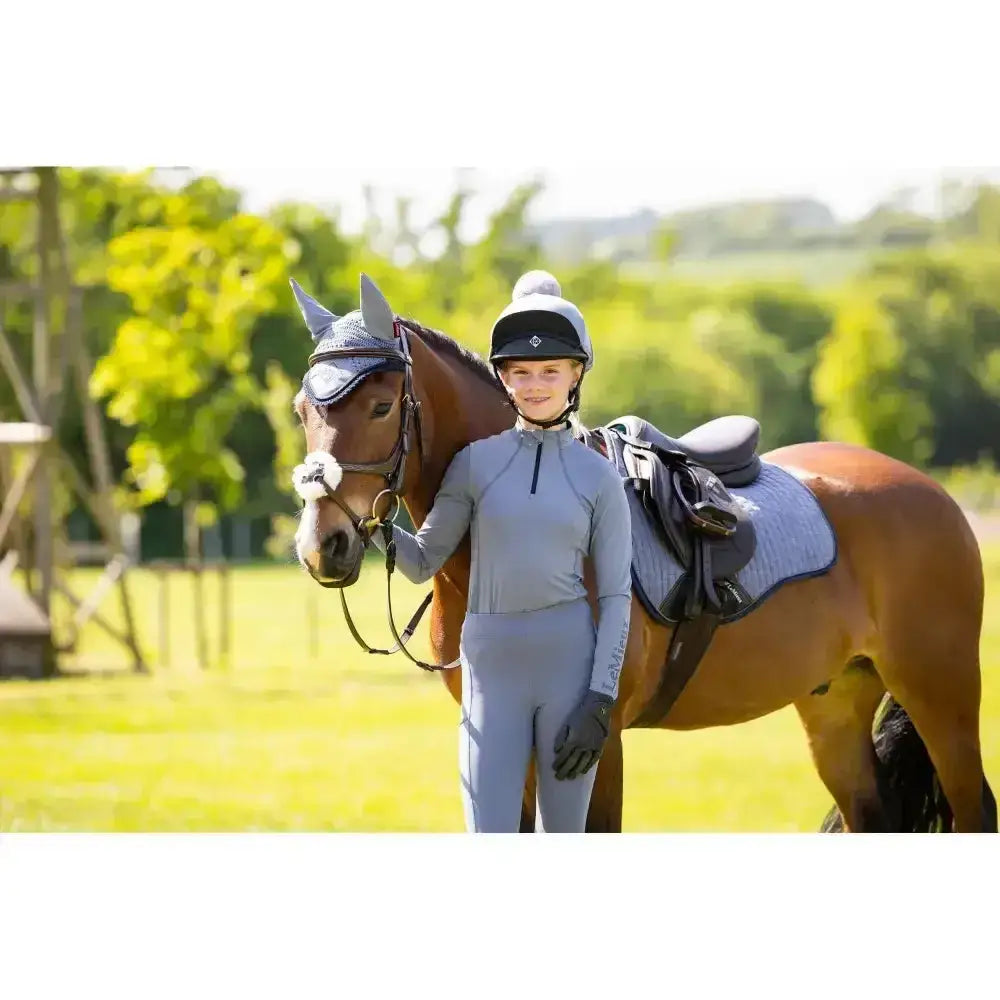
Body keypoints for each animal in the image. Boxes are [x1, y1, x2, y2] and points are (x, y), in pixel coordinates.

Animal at [291, 279, 996, 833]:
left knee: (975, 810)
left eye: (382, 406)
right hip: (833, 704)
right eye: (302, 411)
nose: (322, 546)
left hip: (940, 692)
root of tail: (929, 490)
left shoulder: (594, 747)